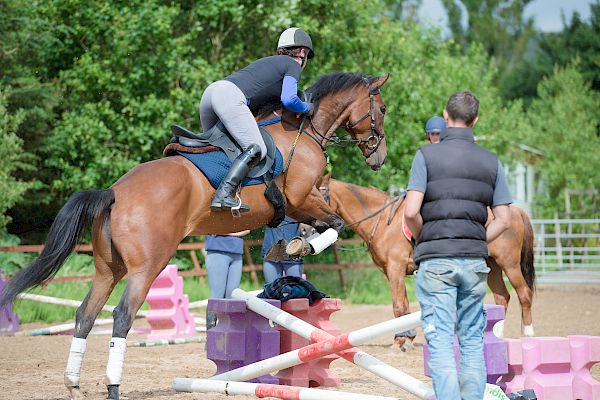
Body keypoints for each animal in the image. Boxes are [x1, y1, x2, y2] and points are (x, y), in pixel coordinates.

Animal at [0, 72, 392, 400]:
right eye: (383, 109)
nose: (379, 158)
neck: (303, 130)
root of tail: (114, 192)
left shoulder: (298, 205)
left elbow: (325, 223)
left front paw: (292, 244)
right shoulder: (299, 198)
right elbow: (335, 224)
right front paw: (299, 244)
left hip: (107, 269)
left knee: (85, 315)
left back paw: (74, 383)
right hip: (147, 267)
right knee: (123, 316)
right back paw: (112, 386)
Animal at [322, 175, 536, 350]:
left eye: (321, 192)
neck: (382, 222)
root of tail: (515, 211)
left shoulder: (395, 269)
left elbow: (398, 306)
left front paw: (399, 342)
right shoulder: (394, 272)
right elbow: (404, 306)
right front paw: (406, 338)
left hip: (509, 264)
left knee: (524, 294)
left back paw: (528, 335)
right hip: (492, 266)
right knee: (502, 298)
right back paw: (496, 336)